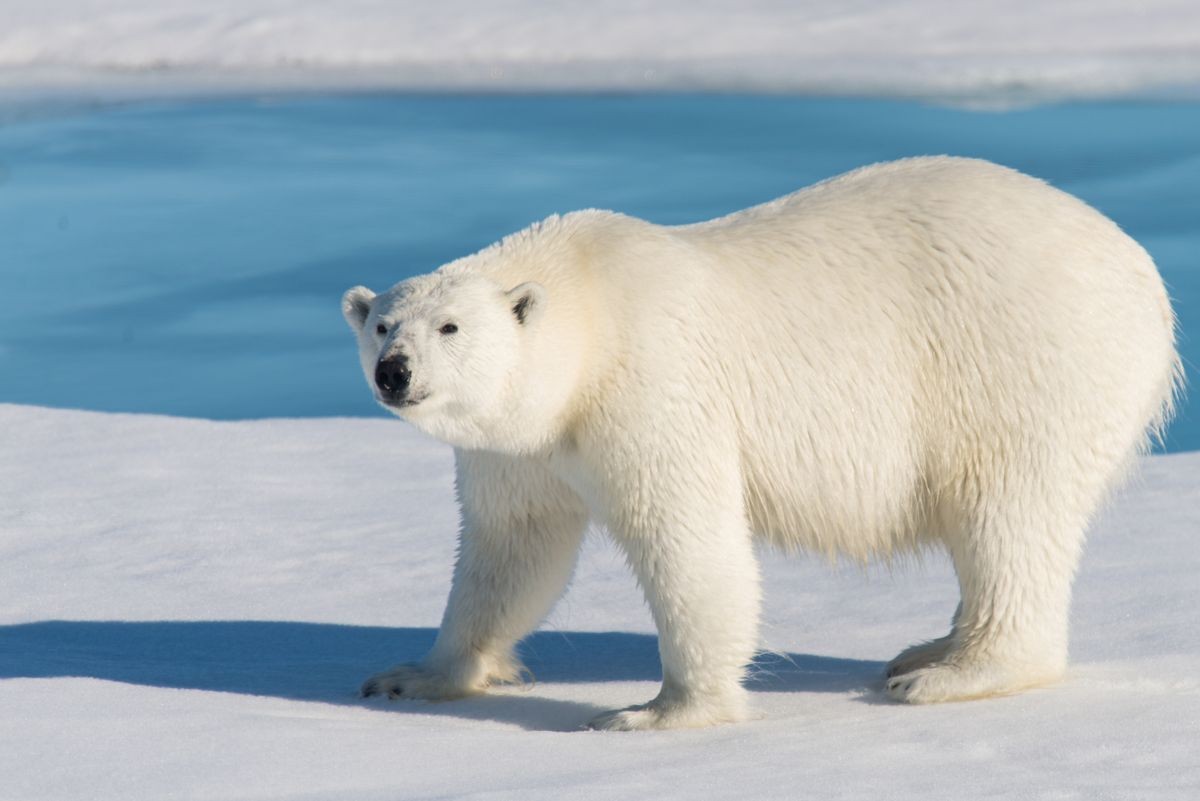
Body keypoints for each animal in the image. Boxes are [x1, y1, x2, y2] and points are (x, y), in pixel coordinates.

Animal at [340, 155, 1180, 733]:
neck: (590, 304)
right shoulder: (522, 447)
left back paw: (950, 673)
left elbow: (688, 540)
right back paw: (927, 649)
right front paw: (416, 674)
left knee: (1005, 512)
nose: (395, 371)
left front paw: (659, 711)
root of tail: (1143, 272)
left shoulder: (652, 385)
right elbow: (512, 547)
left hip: (1021, 365)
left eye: (450, 326)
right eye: (382, 323)